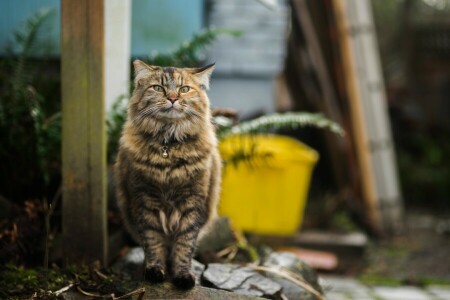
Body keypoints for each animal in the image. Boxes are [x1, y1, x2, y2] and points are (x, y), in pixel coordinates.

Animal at [115, 60, 222, 288]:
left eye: (184, 89)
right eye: (158, 88)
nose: (172, 98)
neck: (168, 147)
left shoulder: (192, 203)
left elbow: (184, 245)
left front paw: (183, 276)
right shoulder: (145, 201)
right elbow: (153, 243)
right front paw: (155, 272)